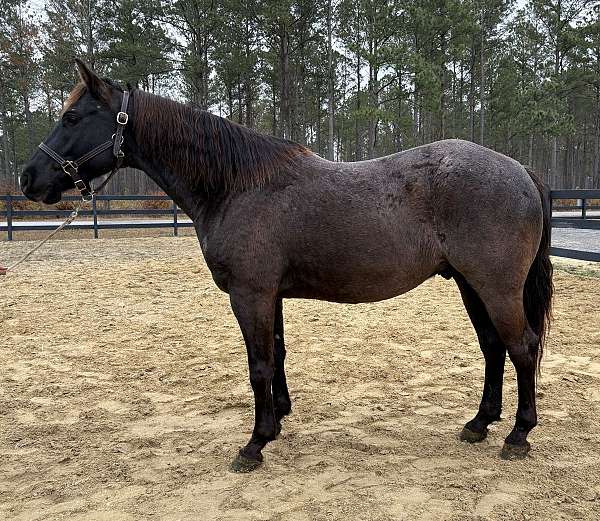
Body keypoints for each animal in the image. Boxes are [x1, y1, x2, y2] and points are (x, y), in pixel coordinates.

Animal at [19, 61, 552, 472]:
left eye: (72, 116)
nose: (28, 178)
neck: (236, 185)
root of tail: (520, 169)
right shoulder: (269, 295)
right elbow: (276, 355)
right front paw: (275, 423)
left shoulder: (249, 294)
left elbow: (258, 366)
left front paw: (253, 445)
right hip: (469, 283)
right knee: (493, 347)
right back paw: (480, 424)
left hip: (495, 286)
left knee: (522, 347)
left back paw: (518, 436)